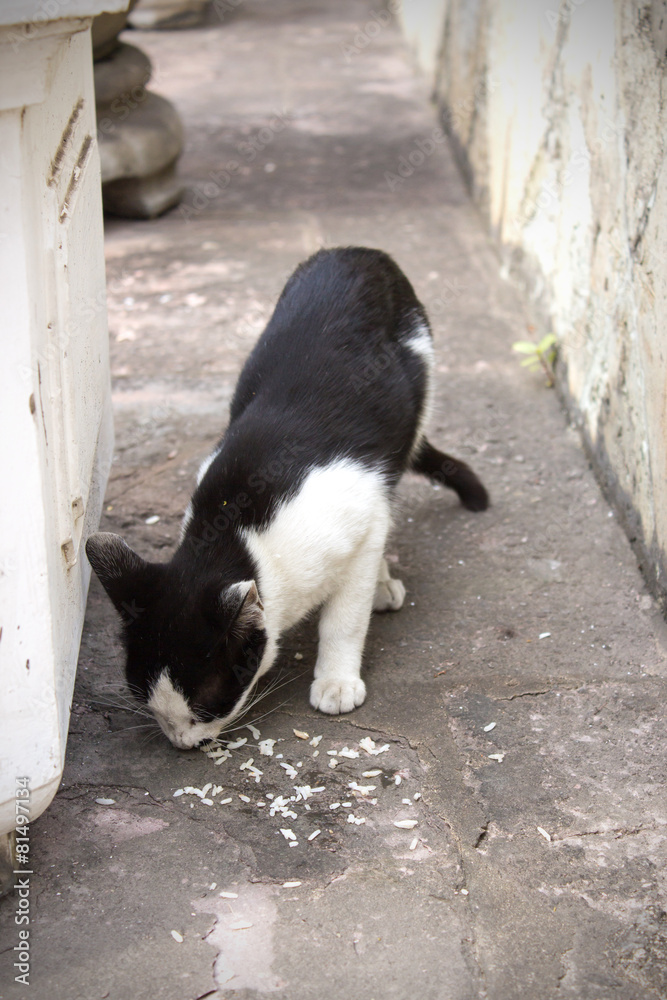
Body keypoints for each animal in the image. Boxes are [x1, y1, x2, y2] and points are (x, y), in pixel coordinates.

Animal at [86, 246, 488, 748]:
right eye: (147, 703)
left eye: (205, 706)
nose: (181, 742)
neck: (237, 528)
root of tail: (355, 251)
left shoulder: (360, 515)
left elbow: (345, 615)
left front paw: (336, 679)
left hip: (418, 390)